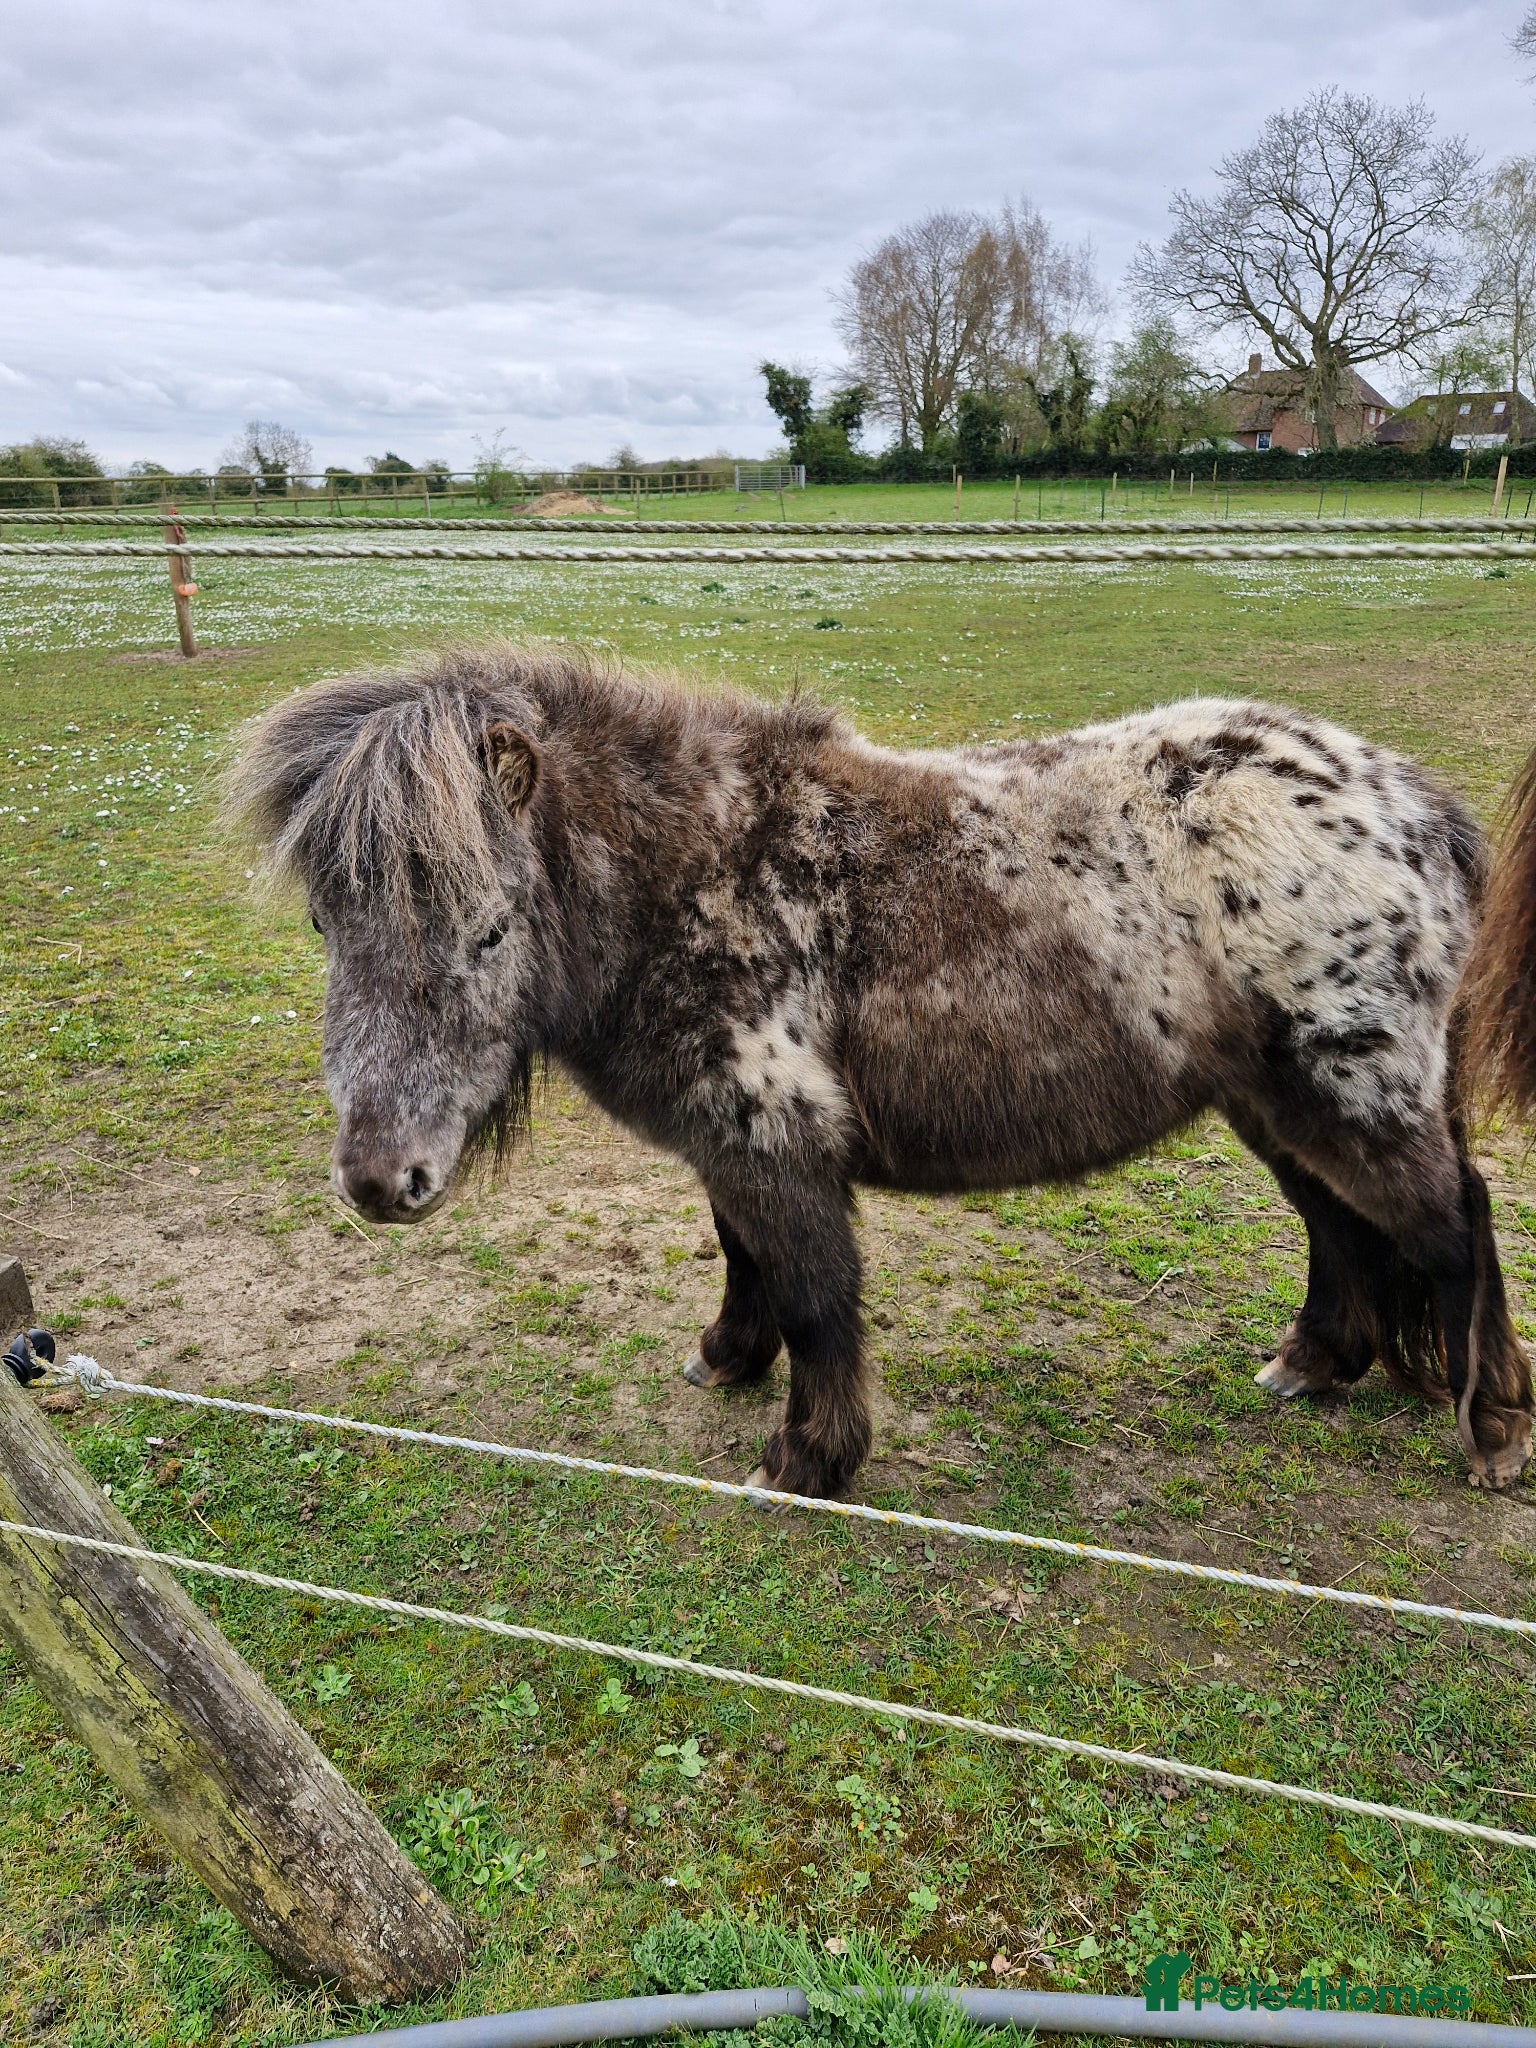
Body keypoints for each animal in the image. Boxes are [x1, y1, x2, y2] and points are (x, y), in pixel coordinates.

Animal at [227, 645, 1533, 1498]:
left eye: (491, 930)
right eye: (327, 926)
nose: (380, 1179)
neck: (694, 870)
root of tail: (1416, 802)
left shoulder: (777, 1137)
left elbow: (814, 1289)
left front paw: (810, 1456)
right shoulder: (732, 1144)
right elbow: (747, 1258)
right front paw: (727, 1357)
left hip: (1353, 1091)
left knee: (1453, 1220)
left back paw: (1491, 1431)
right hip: (1275, 1099)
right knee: (1342, 1222)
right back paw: (1312, 1363)